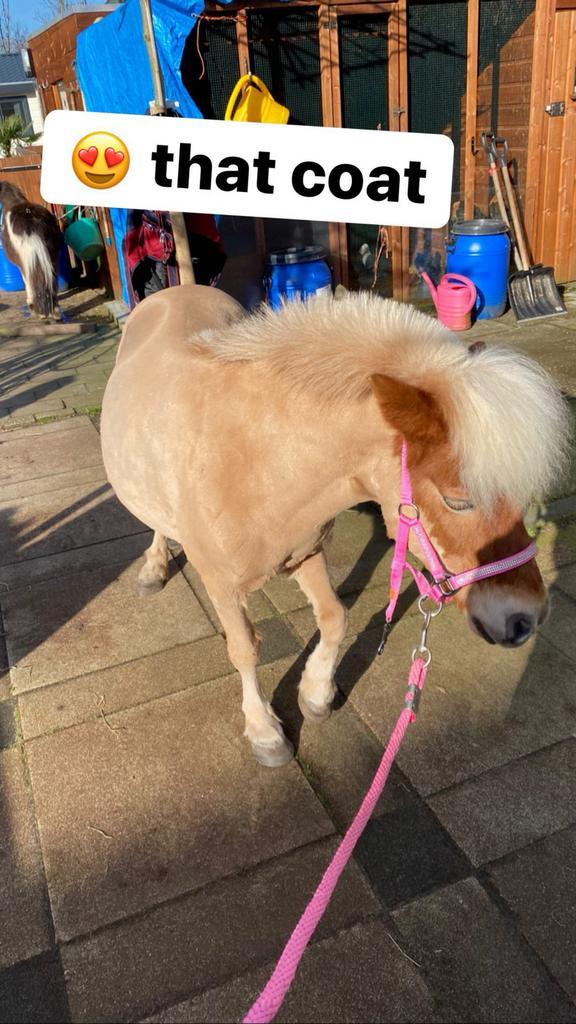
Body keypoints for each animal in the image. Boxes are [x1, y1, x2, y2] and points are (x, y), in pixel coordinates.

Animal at [101, 284, 570, 768]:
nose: (527, 619)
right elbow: (245, 649)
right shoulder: (222, 586)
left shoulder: (306, 551)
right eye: (458, 500)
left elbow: (334, 618)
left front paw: (316, 693)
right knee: (156, 523)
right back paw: (154, 568)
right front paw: (264, 731)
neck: (256, 458)